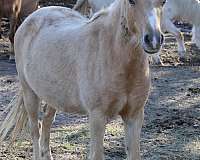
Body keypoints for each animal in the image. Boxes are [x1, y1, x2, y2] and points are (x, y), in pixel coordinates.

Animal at [0, 0, 164, 160]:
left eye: (162, 2)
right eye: (131, 1)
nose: (153, 40)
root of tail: (30, 19)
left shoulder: (134, 116)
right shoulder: (98, 117)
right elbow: (96, 154)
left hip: (53, 97)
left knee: (46, 122)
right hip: (30, 94)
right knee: (35, 130)